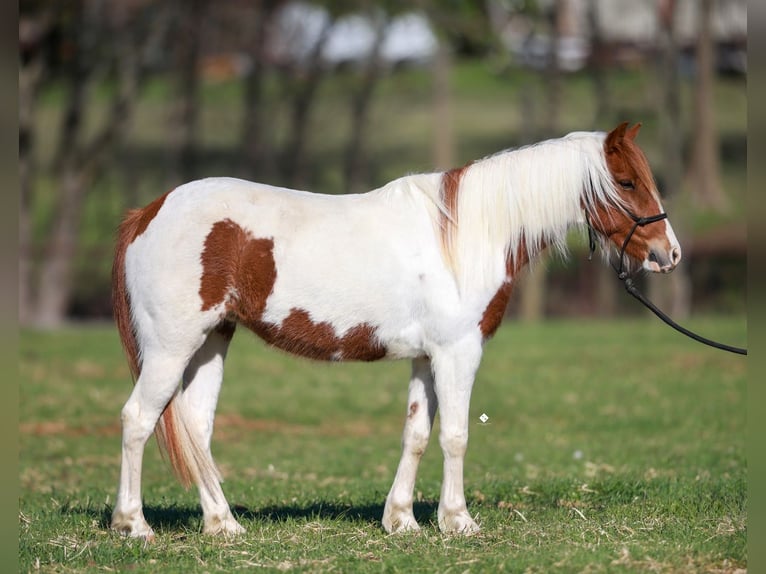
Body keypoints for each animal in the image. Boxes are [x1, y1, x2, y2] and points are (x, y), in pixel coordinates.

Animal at [109, 121, 684, 540]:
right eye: (626, 182)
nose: (669, 254)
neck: (467, 234)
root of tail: (148, 212)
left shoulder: (427, 357)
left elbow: (417, 434)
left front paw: (402, 520)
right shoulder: (458, 352)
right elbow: (455, 435)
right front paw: (458, 521)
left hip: (212, 342)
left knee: (194, 426)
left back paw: (222, 524)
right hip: (171, 348)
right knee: (138, 419)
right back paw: (134, 525)